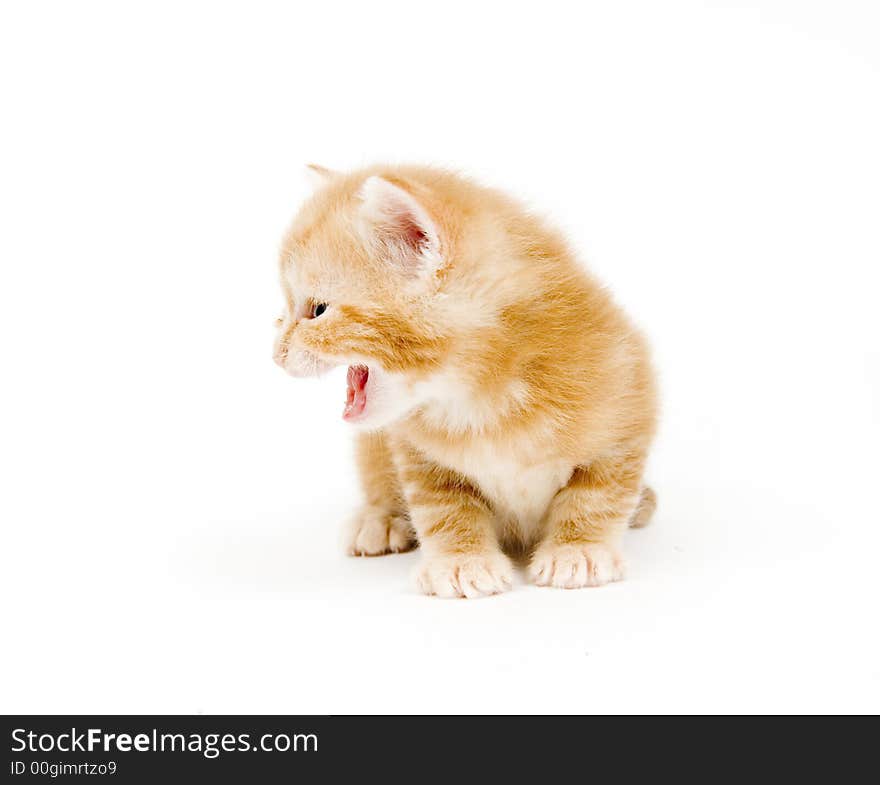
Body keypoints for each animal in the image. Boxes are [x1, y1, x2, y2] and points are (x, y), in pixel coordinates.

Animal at [272, 164, 656, 596]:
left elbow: (597, 495)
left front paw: (578, 551)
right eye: (284, 311)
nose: (276, 353)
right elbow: (445, 510)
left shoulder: (628, 405)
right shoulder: (420, 458)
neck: (480, 394)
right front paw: (461, 563)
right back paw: (379, 519)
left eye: (318, 310)